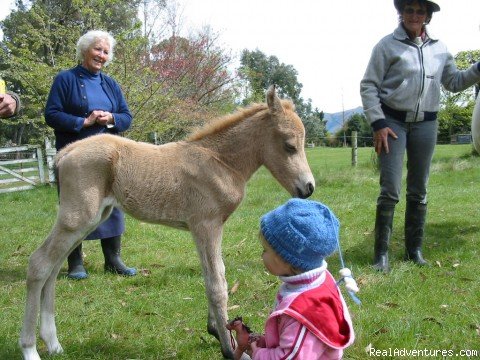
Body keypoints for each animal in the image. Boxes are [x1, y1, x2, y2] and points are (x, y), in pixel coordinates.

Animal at [19, 85, 316, 360]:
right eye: (290, 145)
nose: (308, 188)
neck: (220, 161)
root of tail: (64, 153)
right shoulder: (207, 225)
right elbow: (217, 283)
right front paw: (230, 348)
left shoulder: (202, 229)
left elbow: (209, 275)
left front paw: (215, 331)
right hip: (77, 218)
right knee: (40, 264)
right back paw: (30, 348)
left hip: (90, 220)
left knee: (53, 268)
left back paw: (53, 343)